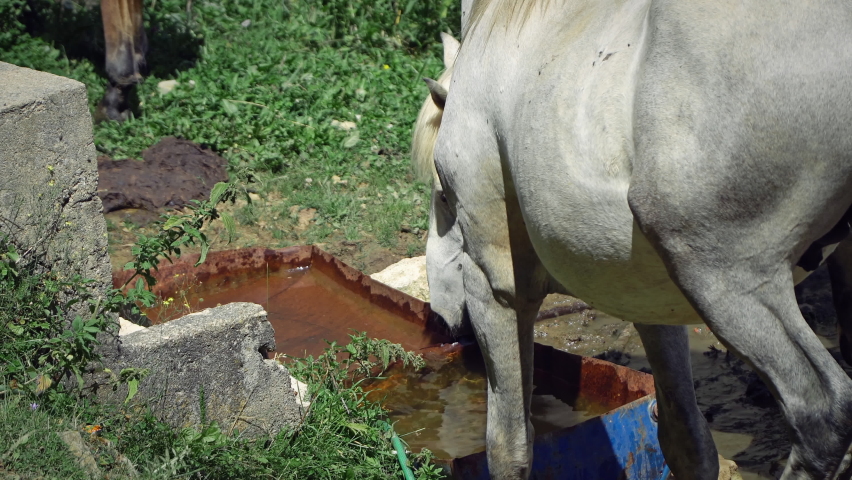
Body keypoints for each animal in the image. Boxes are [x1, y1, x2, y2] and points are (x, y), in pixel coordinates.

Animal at [412, 0, 852, 478]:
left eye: (443, 195)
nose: (440, 320)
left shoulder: (498, 285)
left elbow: (508, 446)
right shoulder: (647, 297)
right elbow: (686, 440)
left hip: (727, 281)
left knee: (822, 411)